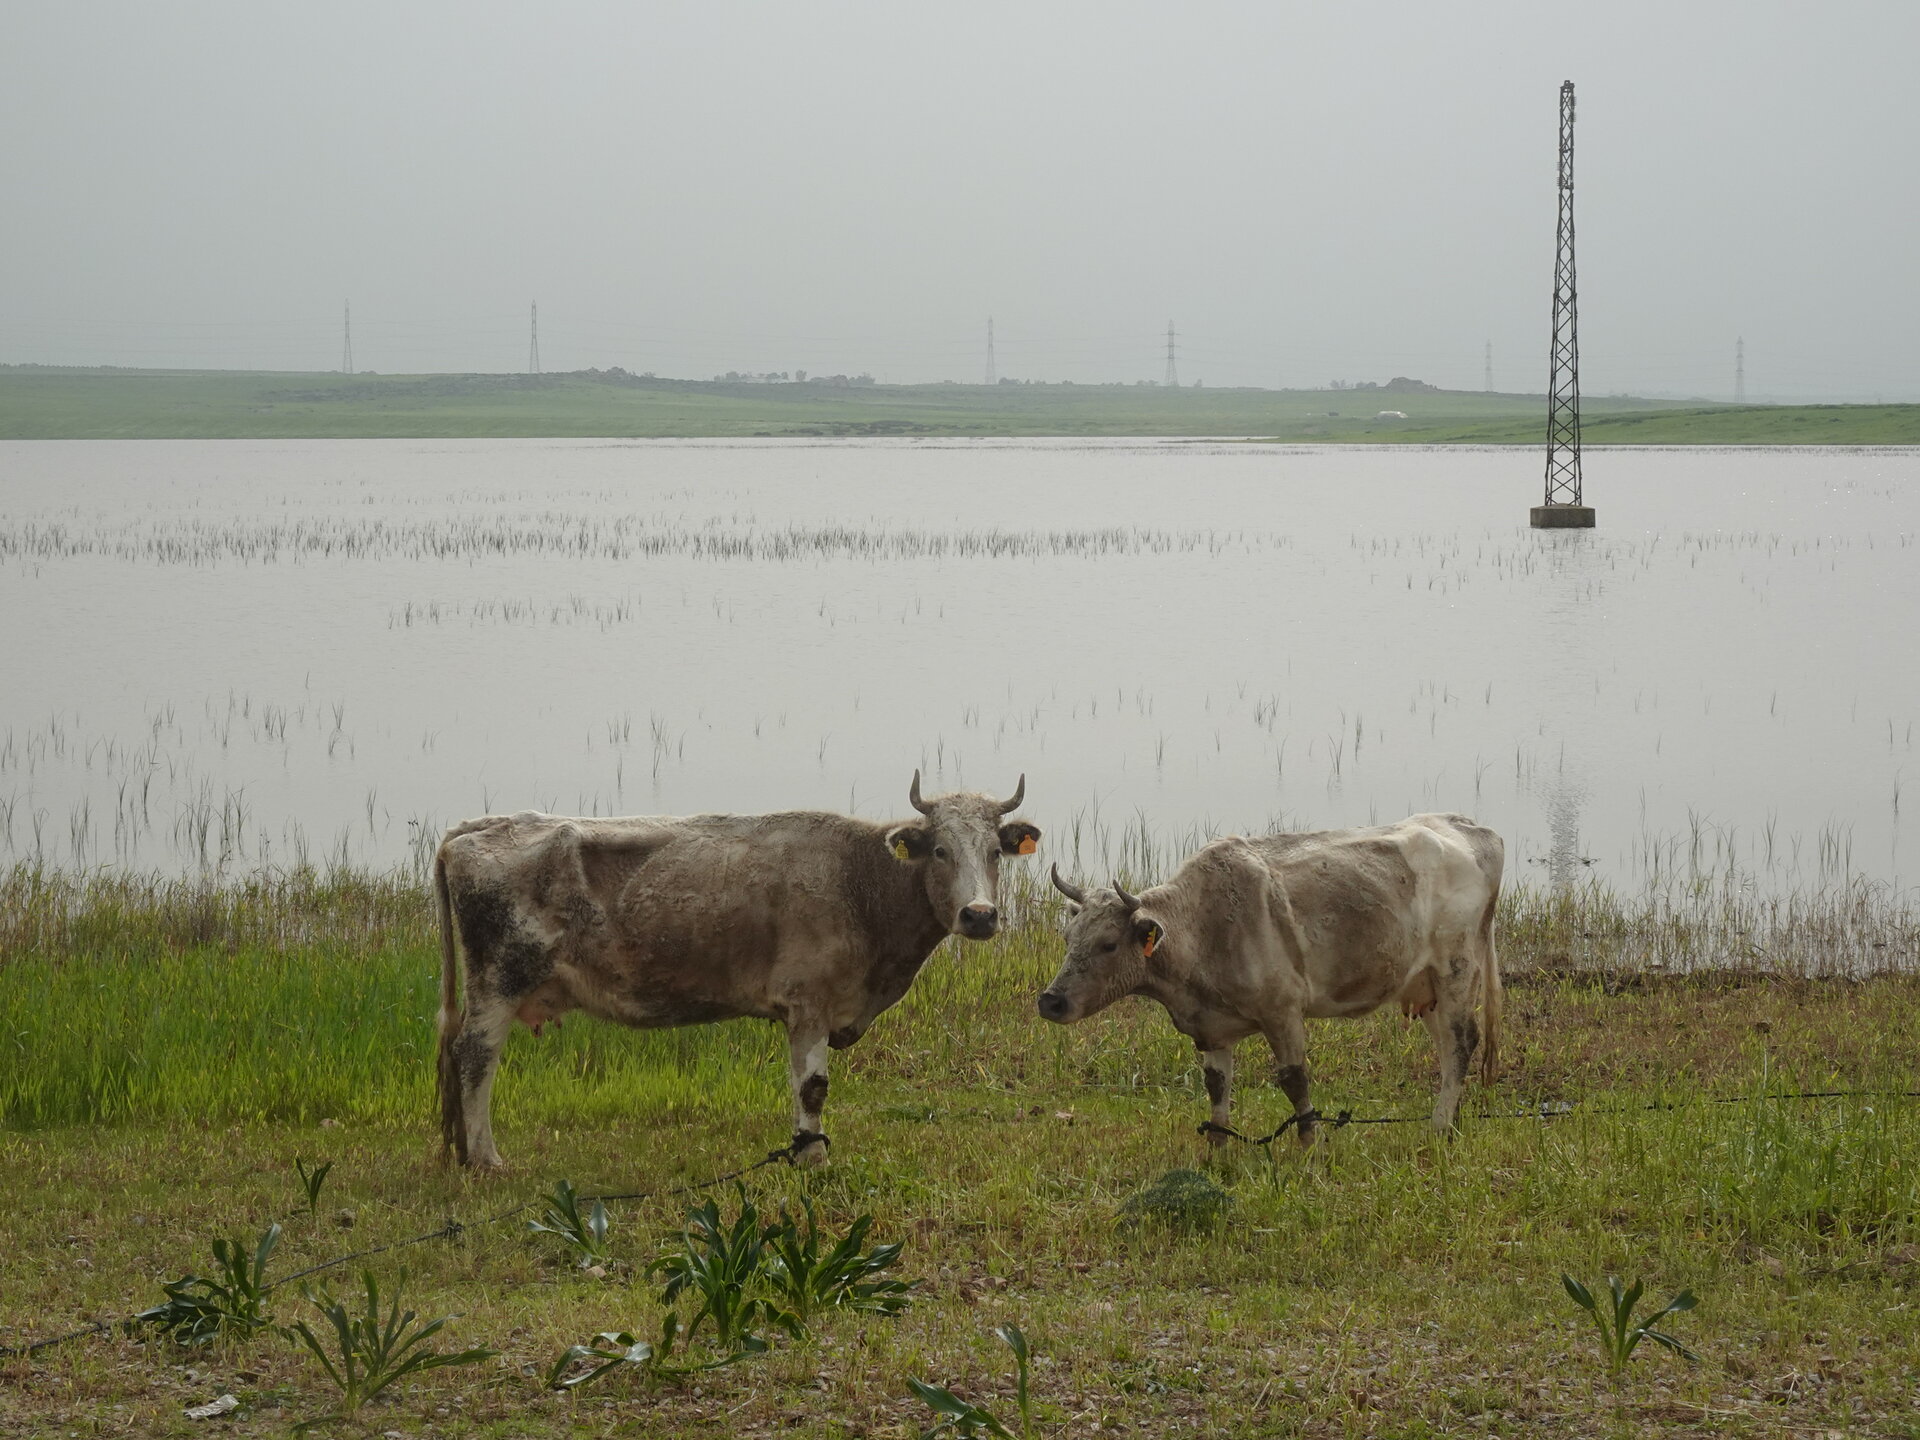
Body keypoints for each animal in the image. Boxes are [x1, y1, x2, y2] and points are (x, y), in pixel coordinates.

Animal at [434, 773, 1040, 1169]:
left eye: (994, 851)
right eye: (939, 850)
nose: (979, 914)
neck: (859, 882)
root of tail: (479, 827)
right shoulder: (809, 1001)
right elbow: (813, 1087)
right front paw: (812, 1161)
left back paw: (463, 1151)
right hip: (499, 980)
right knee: (475, 1056)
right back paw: (486, 1159)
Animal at [1038, 814, 1503, 1143]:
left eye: (1109, 944)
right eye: (1068, 936)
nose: (1051, 1001)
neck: (1203, 927)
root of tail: (1472, 829)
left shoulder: (1283, 1011)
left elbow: (1295, 1082)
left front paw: (1310, 1145)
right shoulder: (1211, 1029)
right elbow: (1217, 1089)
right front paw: (1218, 1152)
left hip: (1457, 968)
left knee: (1462, 1041)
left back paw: (1439, 1128)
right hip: (1426, 986)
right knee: (1447, 1048)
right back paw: (1449, 1120)